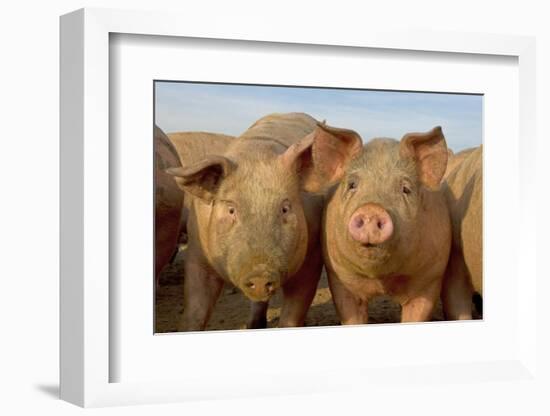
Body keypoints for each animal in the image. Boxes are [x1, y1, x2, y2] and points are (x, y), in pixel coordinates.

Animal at [168, 114, 334, 332]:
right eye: (231, 209)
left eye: (285, 208)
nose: (260, 272)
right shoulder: (197, 251)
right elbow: (195, 310)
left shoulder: (312, 253)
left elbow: (293, 313)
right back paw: (254, 325)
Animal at [320, 125, 452, 324]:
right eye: (352, 185)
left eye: (406, 189)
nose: (372, 209)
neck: (382, 280)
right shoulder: (339, 276)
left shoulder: (430, 277)